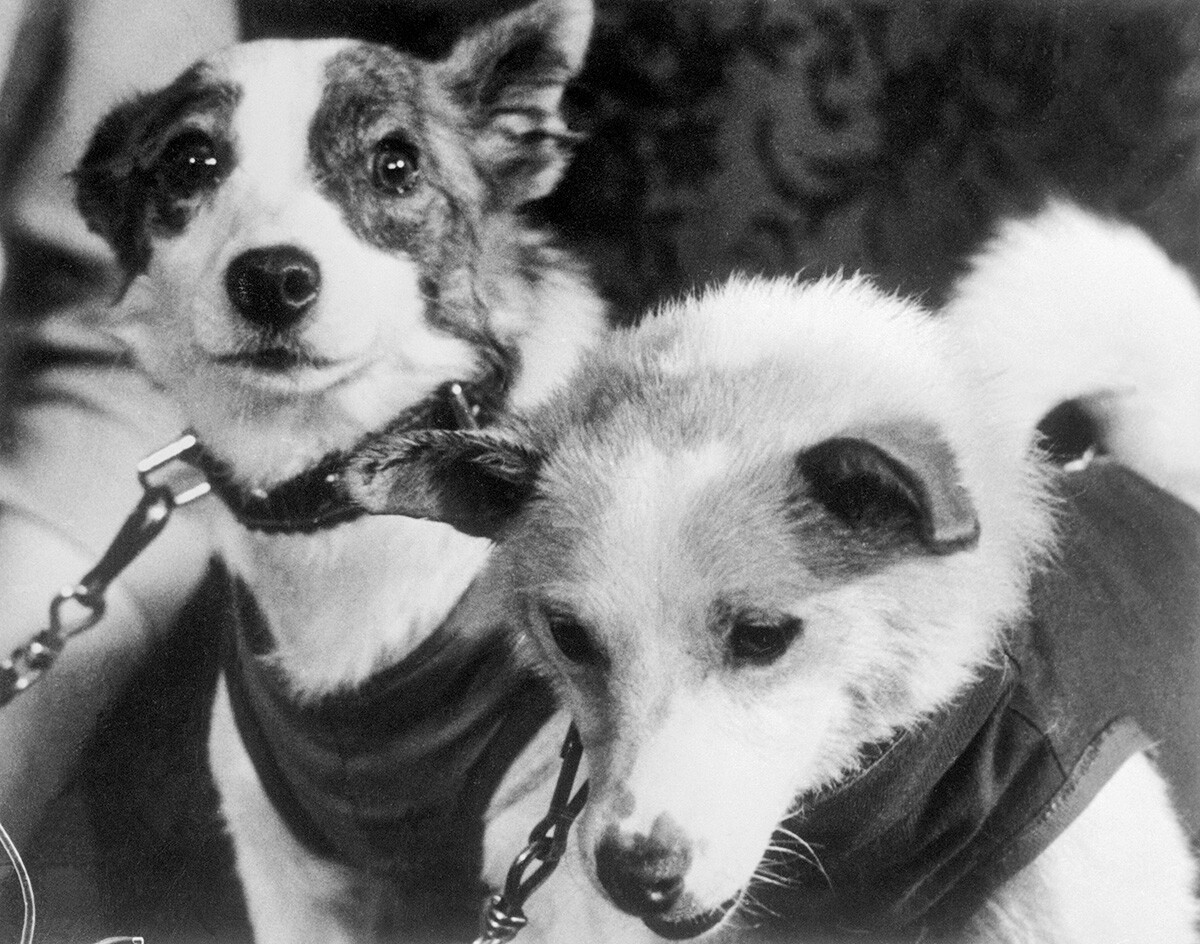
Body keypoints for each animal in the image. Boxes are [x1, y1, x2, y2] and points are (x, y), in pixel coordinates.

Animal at [71, 3, 614, 940]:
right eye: (190, 160)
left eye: (395, 165)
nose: (272, 279)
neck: (347, 490)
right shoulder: (289, 874)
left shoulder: (567, 880)